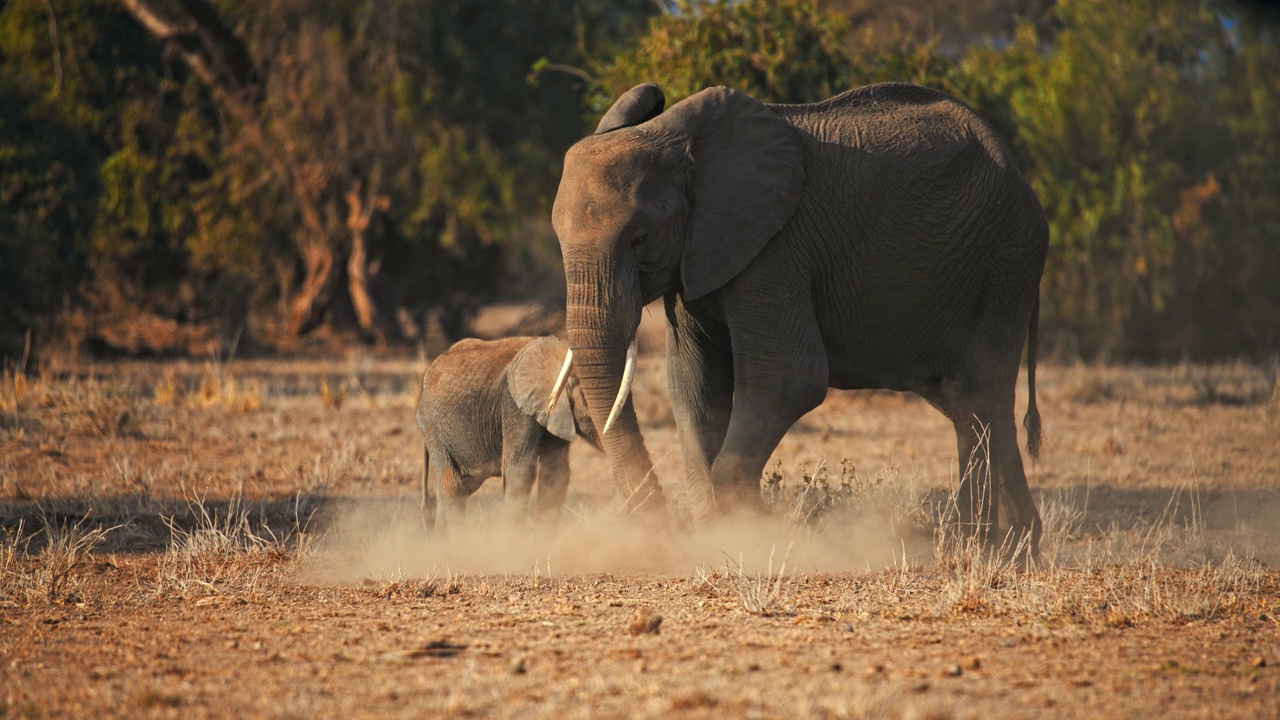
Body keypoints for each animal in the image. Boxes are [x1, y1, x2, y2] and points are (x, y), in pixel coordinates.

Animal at [555, 79, 1044, 548]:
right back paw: (1006, 547)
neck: (678, 142)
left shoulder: (776, 249)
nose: (661, 529)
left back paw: (986, 547)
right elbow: (695, 386)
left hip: (1004, 263)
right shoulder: (698, 257)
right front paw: (717, 538)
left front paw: (745, 537)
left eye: (640, 238)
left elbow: (788, 378)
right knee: (965, 403)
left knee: (981, 395)